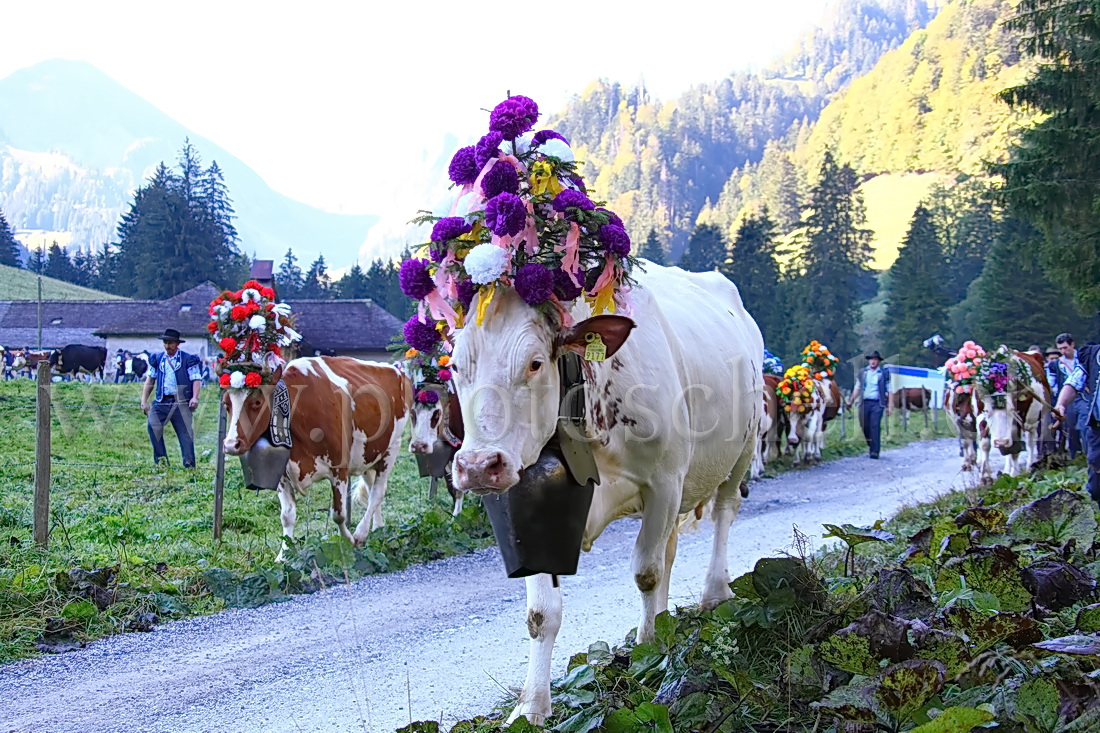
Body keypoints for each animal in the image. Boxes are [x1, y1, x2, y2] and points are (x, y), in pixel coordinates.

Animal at [221, 354, 411, 554]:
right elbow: (287, 515)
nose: (231, 444)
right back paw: (377, 529)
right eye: (226, 404)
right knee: (371, 488)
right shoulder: (282, 474)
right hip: (368, 455)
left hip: (391, 449)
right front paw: (284, 555)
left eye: (257, 402)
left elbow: (339, 514)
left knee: (378, 492)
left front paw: (348, 541)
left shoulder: (339, 468)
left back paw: (360, 534)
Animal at [451, 263, 761, 717]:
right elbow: (541, 613)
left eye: (535, 363)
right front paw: (531, 706)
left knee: (724, 511)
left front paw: (649, 653)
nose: (476, 466)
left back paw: (714, 592)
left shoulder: (665, 481)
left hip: (744, 447)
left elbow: (646, 572)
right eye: (455, 366)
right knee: (670, 549)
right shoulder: (533, 510)